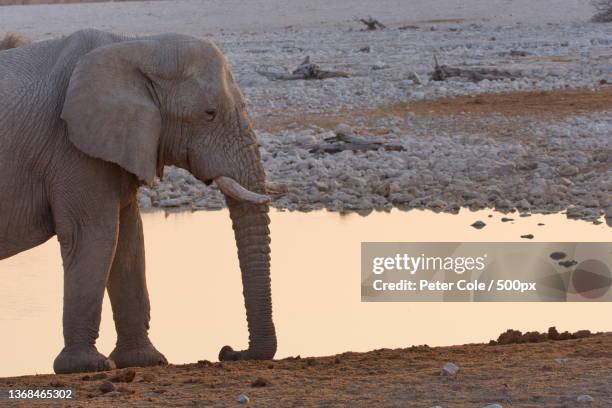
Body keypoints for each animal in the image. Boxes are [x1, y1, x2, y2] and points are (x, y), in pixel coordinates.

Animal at [0, 28, 278, 372]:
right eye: (209, 114)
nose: (228, 350)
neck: (136, 47)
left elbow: (130, 240)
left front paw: (144, 361)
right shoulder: (72, 149)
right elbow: (95, 236)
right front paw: (87, 366)